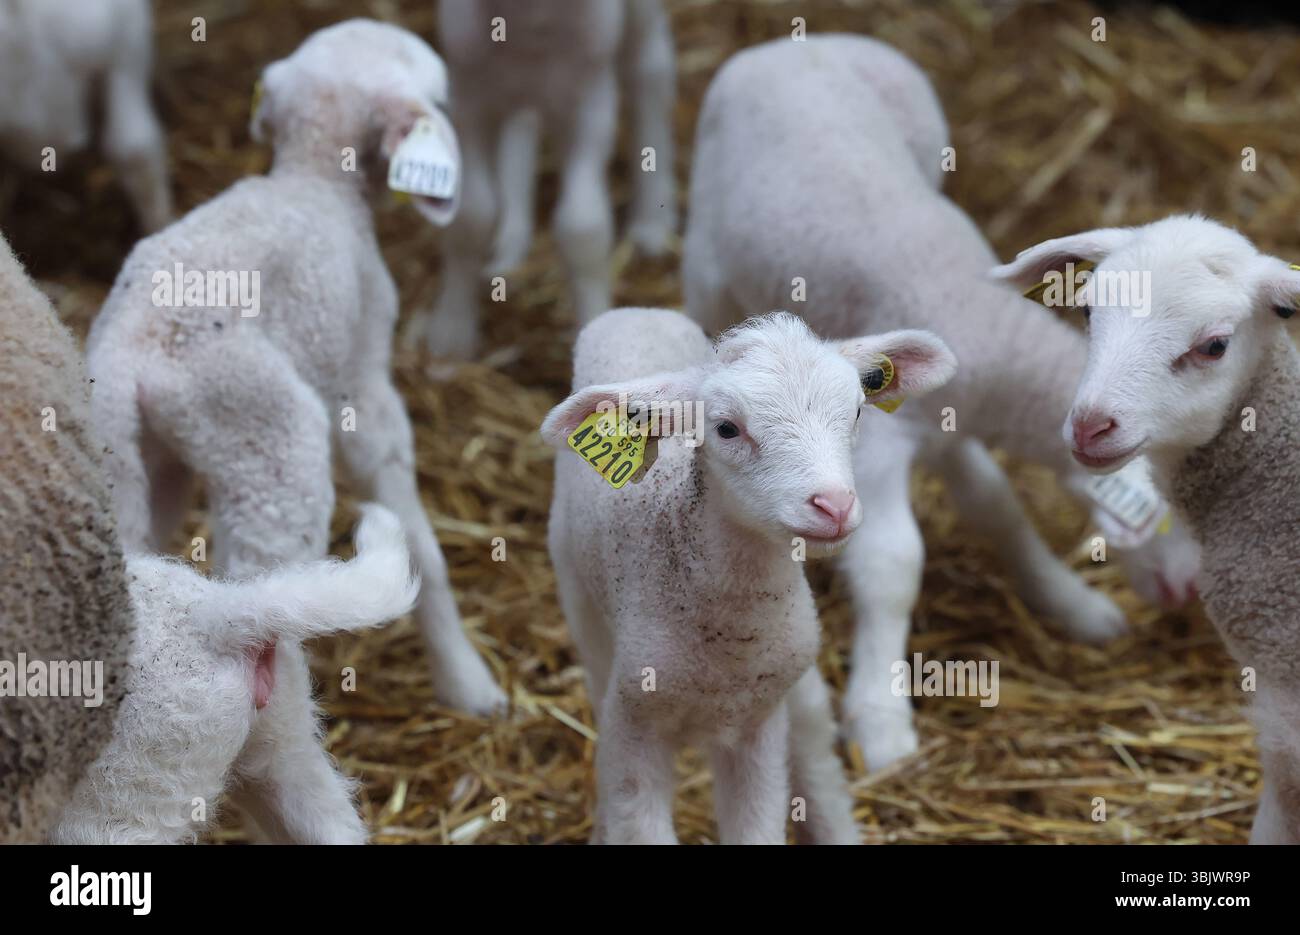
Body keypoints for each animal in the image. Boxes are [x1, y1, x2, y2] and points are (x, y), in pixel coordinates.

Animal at [84, 15, 507, 792]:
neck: (314, 179)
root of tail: (135, 353)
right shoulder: (365, 384)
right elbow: (421, 540)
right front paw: (468, 681)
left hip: (124, 454)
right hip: (270, 446)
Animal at [403, 0, 678, 360]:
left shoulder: (591, 99)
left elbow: (582, 226)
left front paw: (594, 325)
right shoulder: (468, 92)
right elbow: (471, 216)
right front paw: (452, 332)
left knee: (649, 67)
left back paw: (652, 223)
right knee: (523, 123)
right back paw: (510, 242)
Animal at [541, 307, 957, 843]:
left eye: (858, 413)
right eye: (725, 429)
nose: (834, 505)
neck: (729, 649)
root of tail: (637, 311)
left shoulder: (759, 723)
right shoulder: (634, 727)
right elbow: (634, 811)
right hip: (581, 606)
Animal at [681, 34, 1201, 771]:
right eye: (1169, 508)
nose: (1187, 592)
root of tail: (792, 41)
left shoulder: (947, 423)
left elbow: (997, 506)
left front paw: (1070, 602)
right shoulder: (879, 443)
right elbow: (893, 561)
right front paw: (881, 719)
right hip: (706, 261)